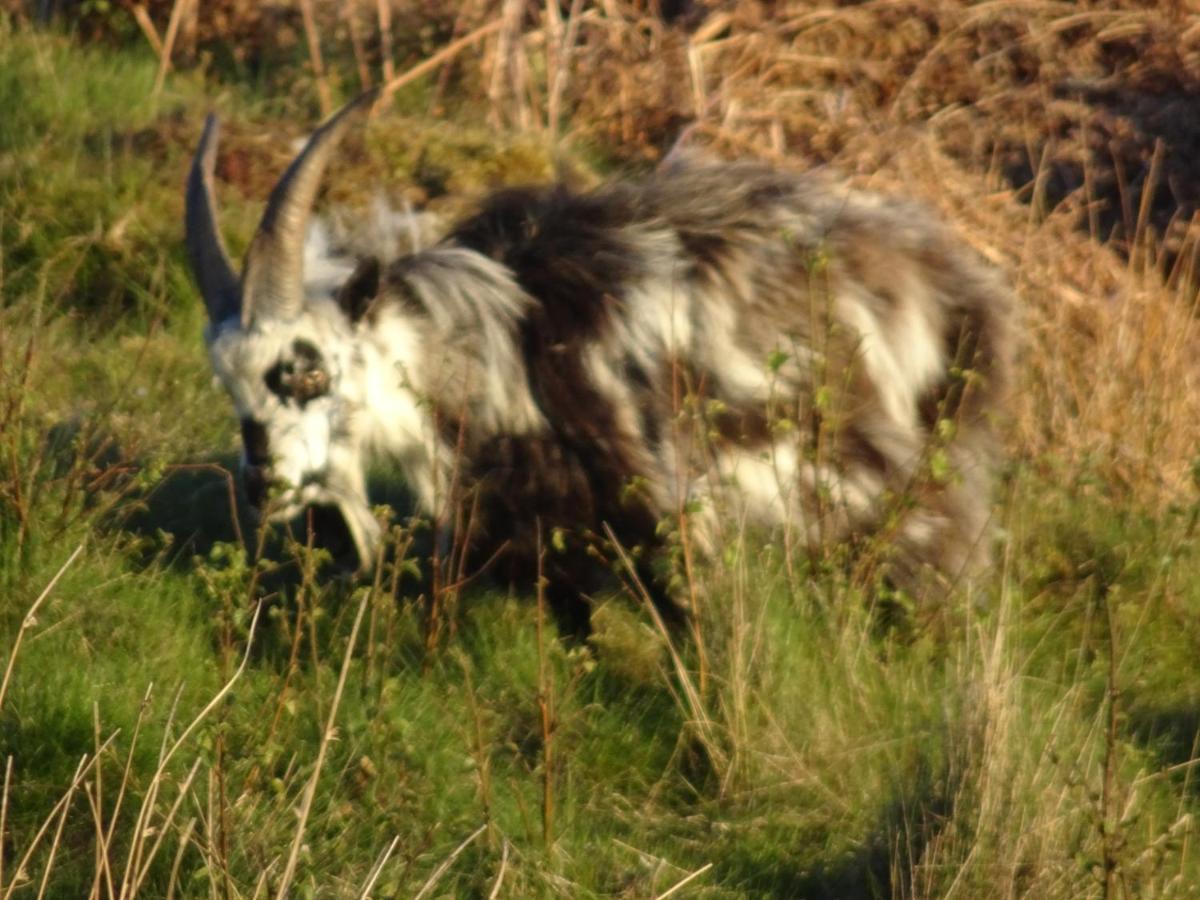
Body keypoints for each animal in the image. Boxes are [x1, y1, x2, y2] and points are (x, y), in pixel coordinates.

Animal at [184, 93, 1012, 633]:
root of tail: (963, 291)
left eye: (308, 369)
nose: (263, 485)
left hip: (907, 497)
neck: (509, 342)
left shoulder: (666, 509)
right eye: (226, 383)